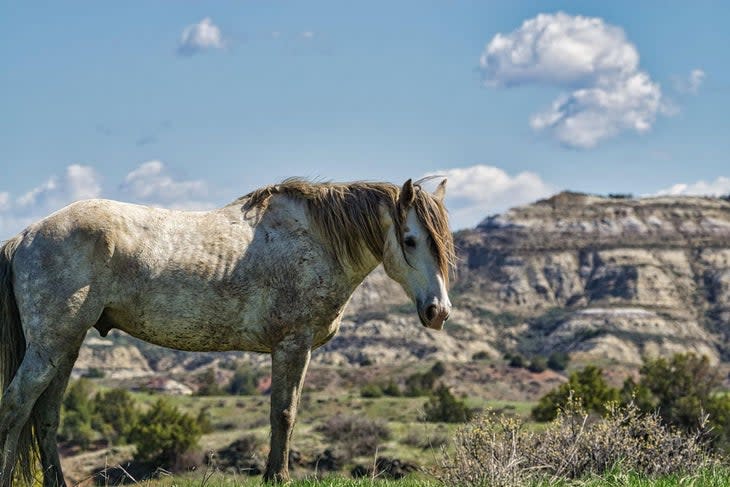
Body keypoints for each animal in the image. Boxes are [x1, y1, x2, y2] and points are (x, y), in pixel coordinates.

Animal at [0, 177, 452, 486]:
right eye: (410, 240)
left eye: (443, 244)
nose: (439, 311)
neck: (313, 240)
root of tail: (25, 237)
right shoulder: (293, 345)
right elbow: (283, 413)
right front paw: (277, 477)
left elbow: (287, 412)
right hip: (49, 346)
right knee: (16, 406)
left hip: (67, 347)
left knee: (46, 416)